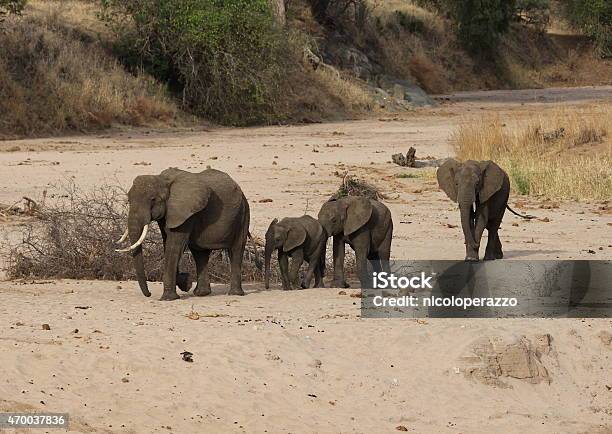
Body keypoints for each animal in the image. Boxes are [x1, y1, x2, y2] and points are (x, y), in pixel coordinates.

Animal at [116, 167, 260, 302]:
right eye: (129, 199)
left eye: (153, 199)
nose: (149, 294)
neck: (163, 180)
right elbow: (167, 243)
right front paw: (185, 283)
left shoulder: (184, 212)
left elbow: (174, 246)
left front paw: (169, 298)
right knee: (200, 254)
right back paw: (201, 293)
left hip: (243, 214)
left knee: (235, 250)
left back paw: (234, 294)